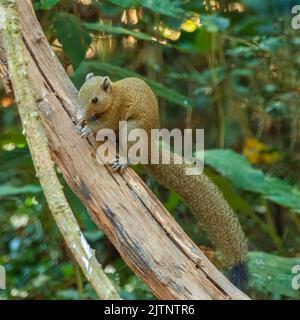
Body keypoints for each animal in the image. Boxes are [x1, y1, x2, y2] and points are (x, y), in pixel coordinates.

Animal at [75, 74, 248, 288]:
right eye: (80, 93)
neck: (114, 95)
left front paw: (85, 128)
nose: (79, 116)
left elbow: (101, 125)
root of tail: (149, 143)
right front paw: (80, 121)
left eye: (95, 100)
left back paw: (123, 160)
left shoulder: (114, 114)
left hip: (131, 130)